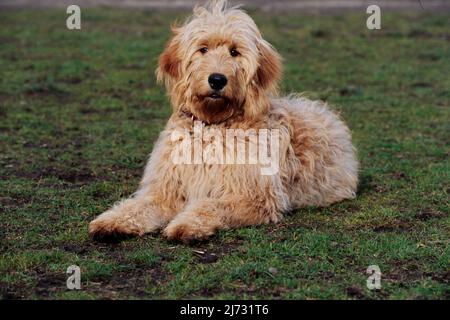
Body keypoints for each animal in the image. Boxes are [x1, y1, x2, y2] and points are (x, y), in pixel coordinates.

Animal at [89, 0, 360, 242]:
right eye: (203, 49)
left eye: (234, 52)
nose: (217, 80)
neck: (212, 126)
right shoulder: (167, 190)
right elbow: (137, 206)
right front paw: (112, 221)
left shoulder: (252, 196)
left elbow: (210, 206)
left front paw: (186, 225)